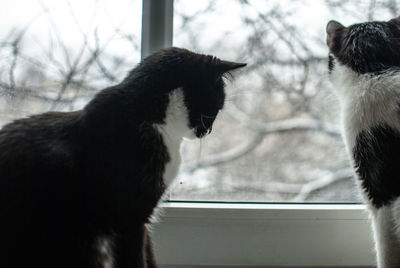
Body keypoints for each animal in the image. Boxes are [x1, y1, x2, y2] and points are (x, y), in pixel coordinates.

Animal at [0, 48, 247, 268]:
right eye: (216, 107)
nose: (208, 131)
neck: (149, 115)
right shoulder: (130, 218)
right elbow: (136, 259)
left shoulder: (142, 220)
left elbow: (149, 254)